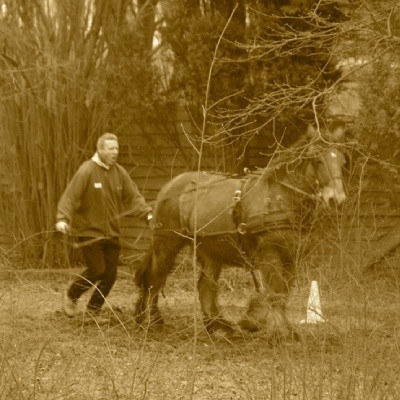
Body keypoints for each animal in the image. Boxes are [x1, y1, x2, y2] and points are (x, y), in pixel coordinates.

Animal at [134, 136, 346, 340]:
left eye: (342, 162)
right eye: (318, 160)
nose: (337, 199)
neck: (278, 196)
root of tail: (169, 187)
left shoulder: (290, 257)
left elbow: (282, 292)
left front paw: (272, 326)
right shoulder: (270, 254)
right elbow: (274, 292)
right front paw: (274, 330)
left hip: (210, 250)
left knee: (205, 287)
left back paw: (218, 326)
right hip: (167, 243)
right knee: (154, 279)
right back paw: (153, 320)